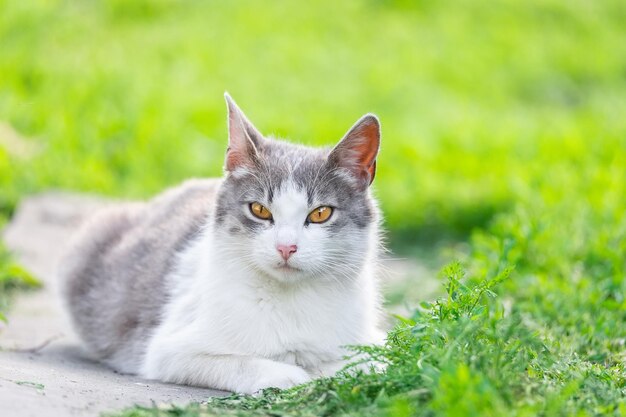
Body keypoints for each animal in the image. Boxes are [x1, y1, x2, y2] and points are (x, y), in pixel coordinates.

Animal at [58, 94, 382, 394]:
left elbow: (364, 364)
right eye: (259, 210)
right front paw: (288, 375)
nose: (286, 247)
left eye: (320, 213)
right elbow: (237, 362)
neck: (290, 299)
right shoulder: (168, 350)